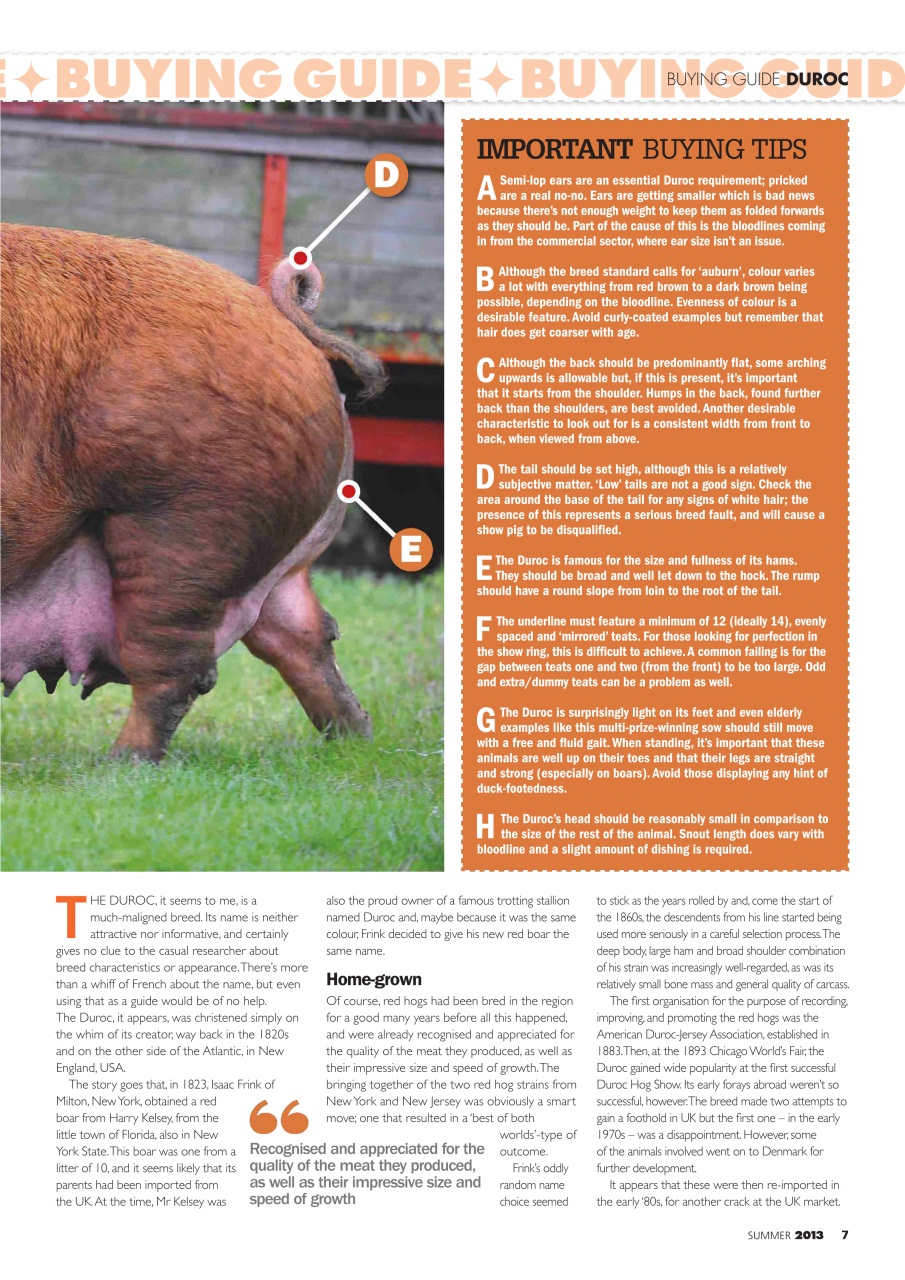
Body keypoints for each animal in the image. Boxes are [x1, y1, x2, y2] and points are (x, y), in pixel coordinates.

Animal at [1, 223, 384, 760]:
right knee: (303, 634)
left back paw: (121, 764)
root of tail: (281, 320)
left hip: (185, 523)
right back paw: (356, 740)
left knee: (176, 668)